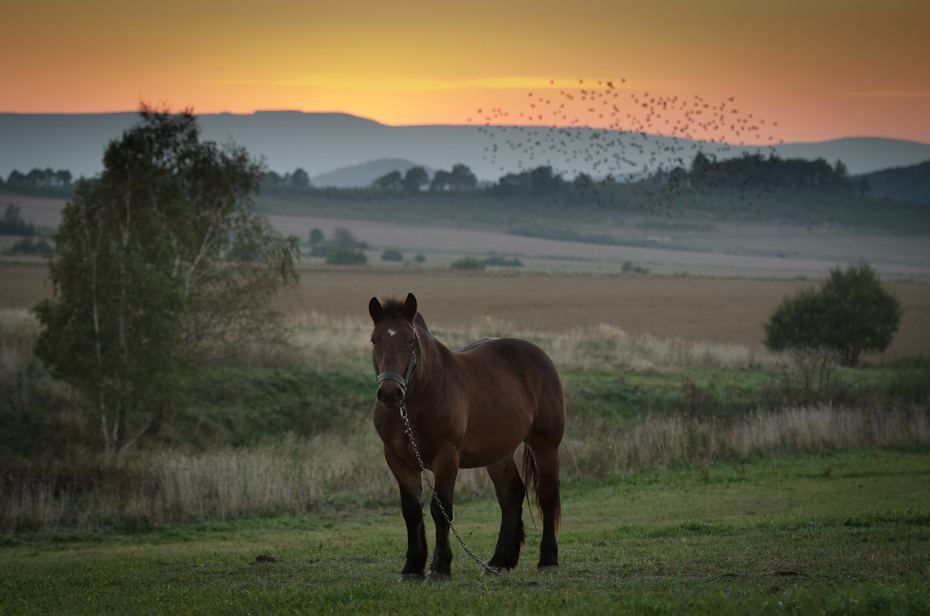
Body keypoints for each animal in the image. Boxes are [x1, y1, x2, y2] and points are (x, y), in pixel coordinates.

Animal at [366, 294, 560, 584]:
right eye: (374, 340)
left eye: (410, 340)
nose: (390, 393)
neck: (418, 401)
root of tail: (539, 354)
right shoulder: (398, 460)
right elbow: (411, 511)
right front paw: (412, 567)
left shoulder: (447, 457)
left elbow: (441, 510)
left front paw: (439, 567)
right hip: (498, 452)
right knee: (511, 494)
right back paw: (498, 562)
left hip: (545, 444)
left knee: (547, 493)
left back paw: (548, 560)